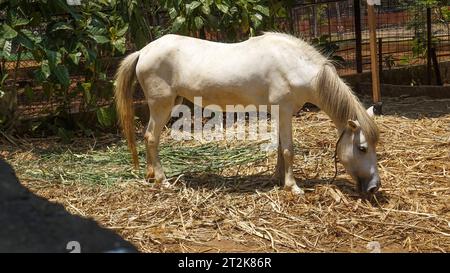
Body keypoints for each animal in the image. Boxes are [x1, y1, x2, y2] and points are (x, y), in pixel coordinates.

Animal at [115, 32, 380, 196]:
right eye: (362, 148)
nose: (374, 187)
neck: (296, 64)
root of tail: (144, 51)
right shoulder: (284, 111)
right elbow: (288, 149)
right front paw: (293, 187)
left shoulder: (281, 113)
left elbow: (280, 148)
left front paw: (278, 178)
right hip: (162, 105)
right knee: (151, 138)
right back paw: (163, 181)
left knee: (149, 138)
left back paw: (150, 175)